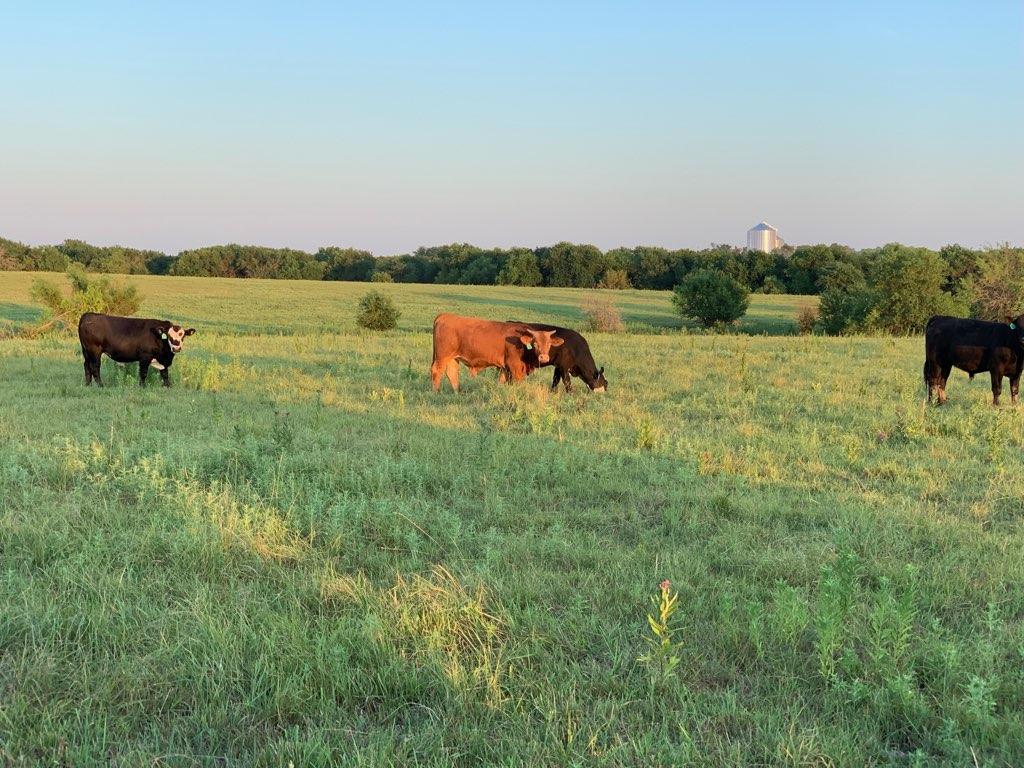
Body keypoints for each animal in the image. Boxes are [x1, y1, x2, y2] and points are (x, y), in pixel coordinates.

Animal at [431, 313, 563, 392]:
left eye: (549, 344)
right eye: (535, 343)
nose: (544, 357)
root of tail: (445, 315)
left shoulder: (504, 367)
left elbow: (502, 381)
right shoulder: (515, 366)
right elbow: (517, 382)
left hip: (453, 357)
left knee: (452, 372)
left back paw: (457, 392)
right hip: (442, 356)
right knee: (437, 371)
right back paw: (436, 392)